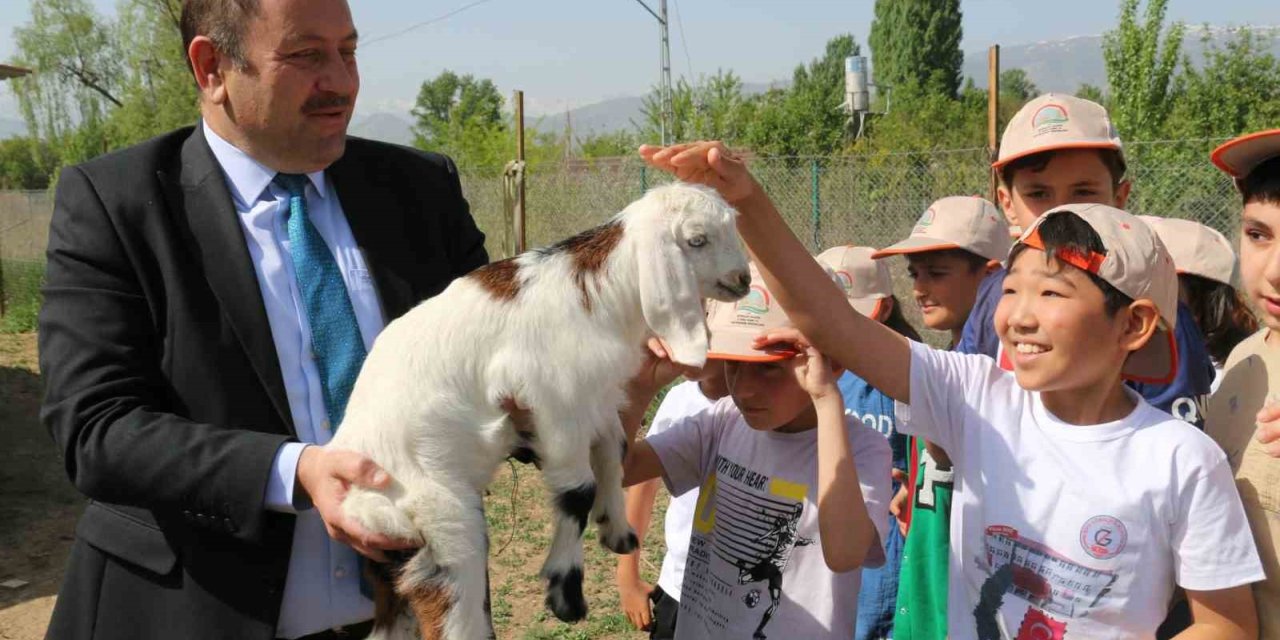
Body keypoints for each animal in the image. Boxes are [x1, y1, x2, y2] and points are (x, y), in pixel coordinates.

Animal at [325, 183, 752, 637]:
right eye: (697, 240)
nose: (742, 279)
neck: (600, 296)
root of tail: (359, 505)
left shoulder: (595, 400)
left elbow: (613, 452)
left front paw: (616, 531)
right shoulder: (556, 403)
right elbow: (578, 490)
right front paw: (566, 594)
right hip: (444, 527)